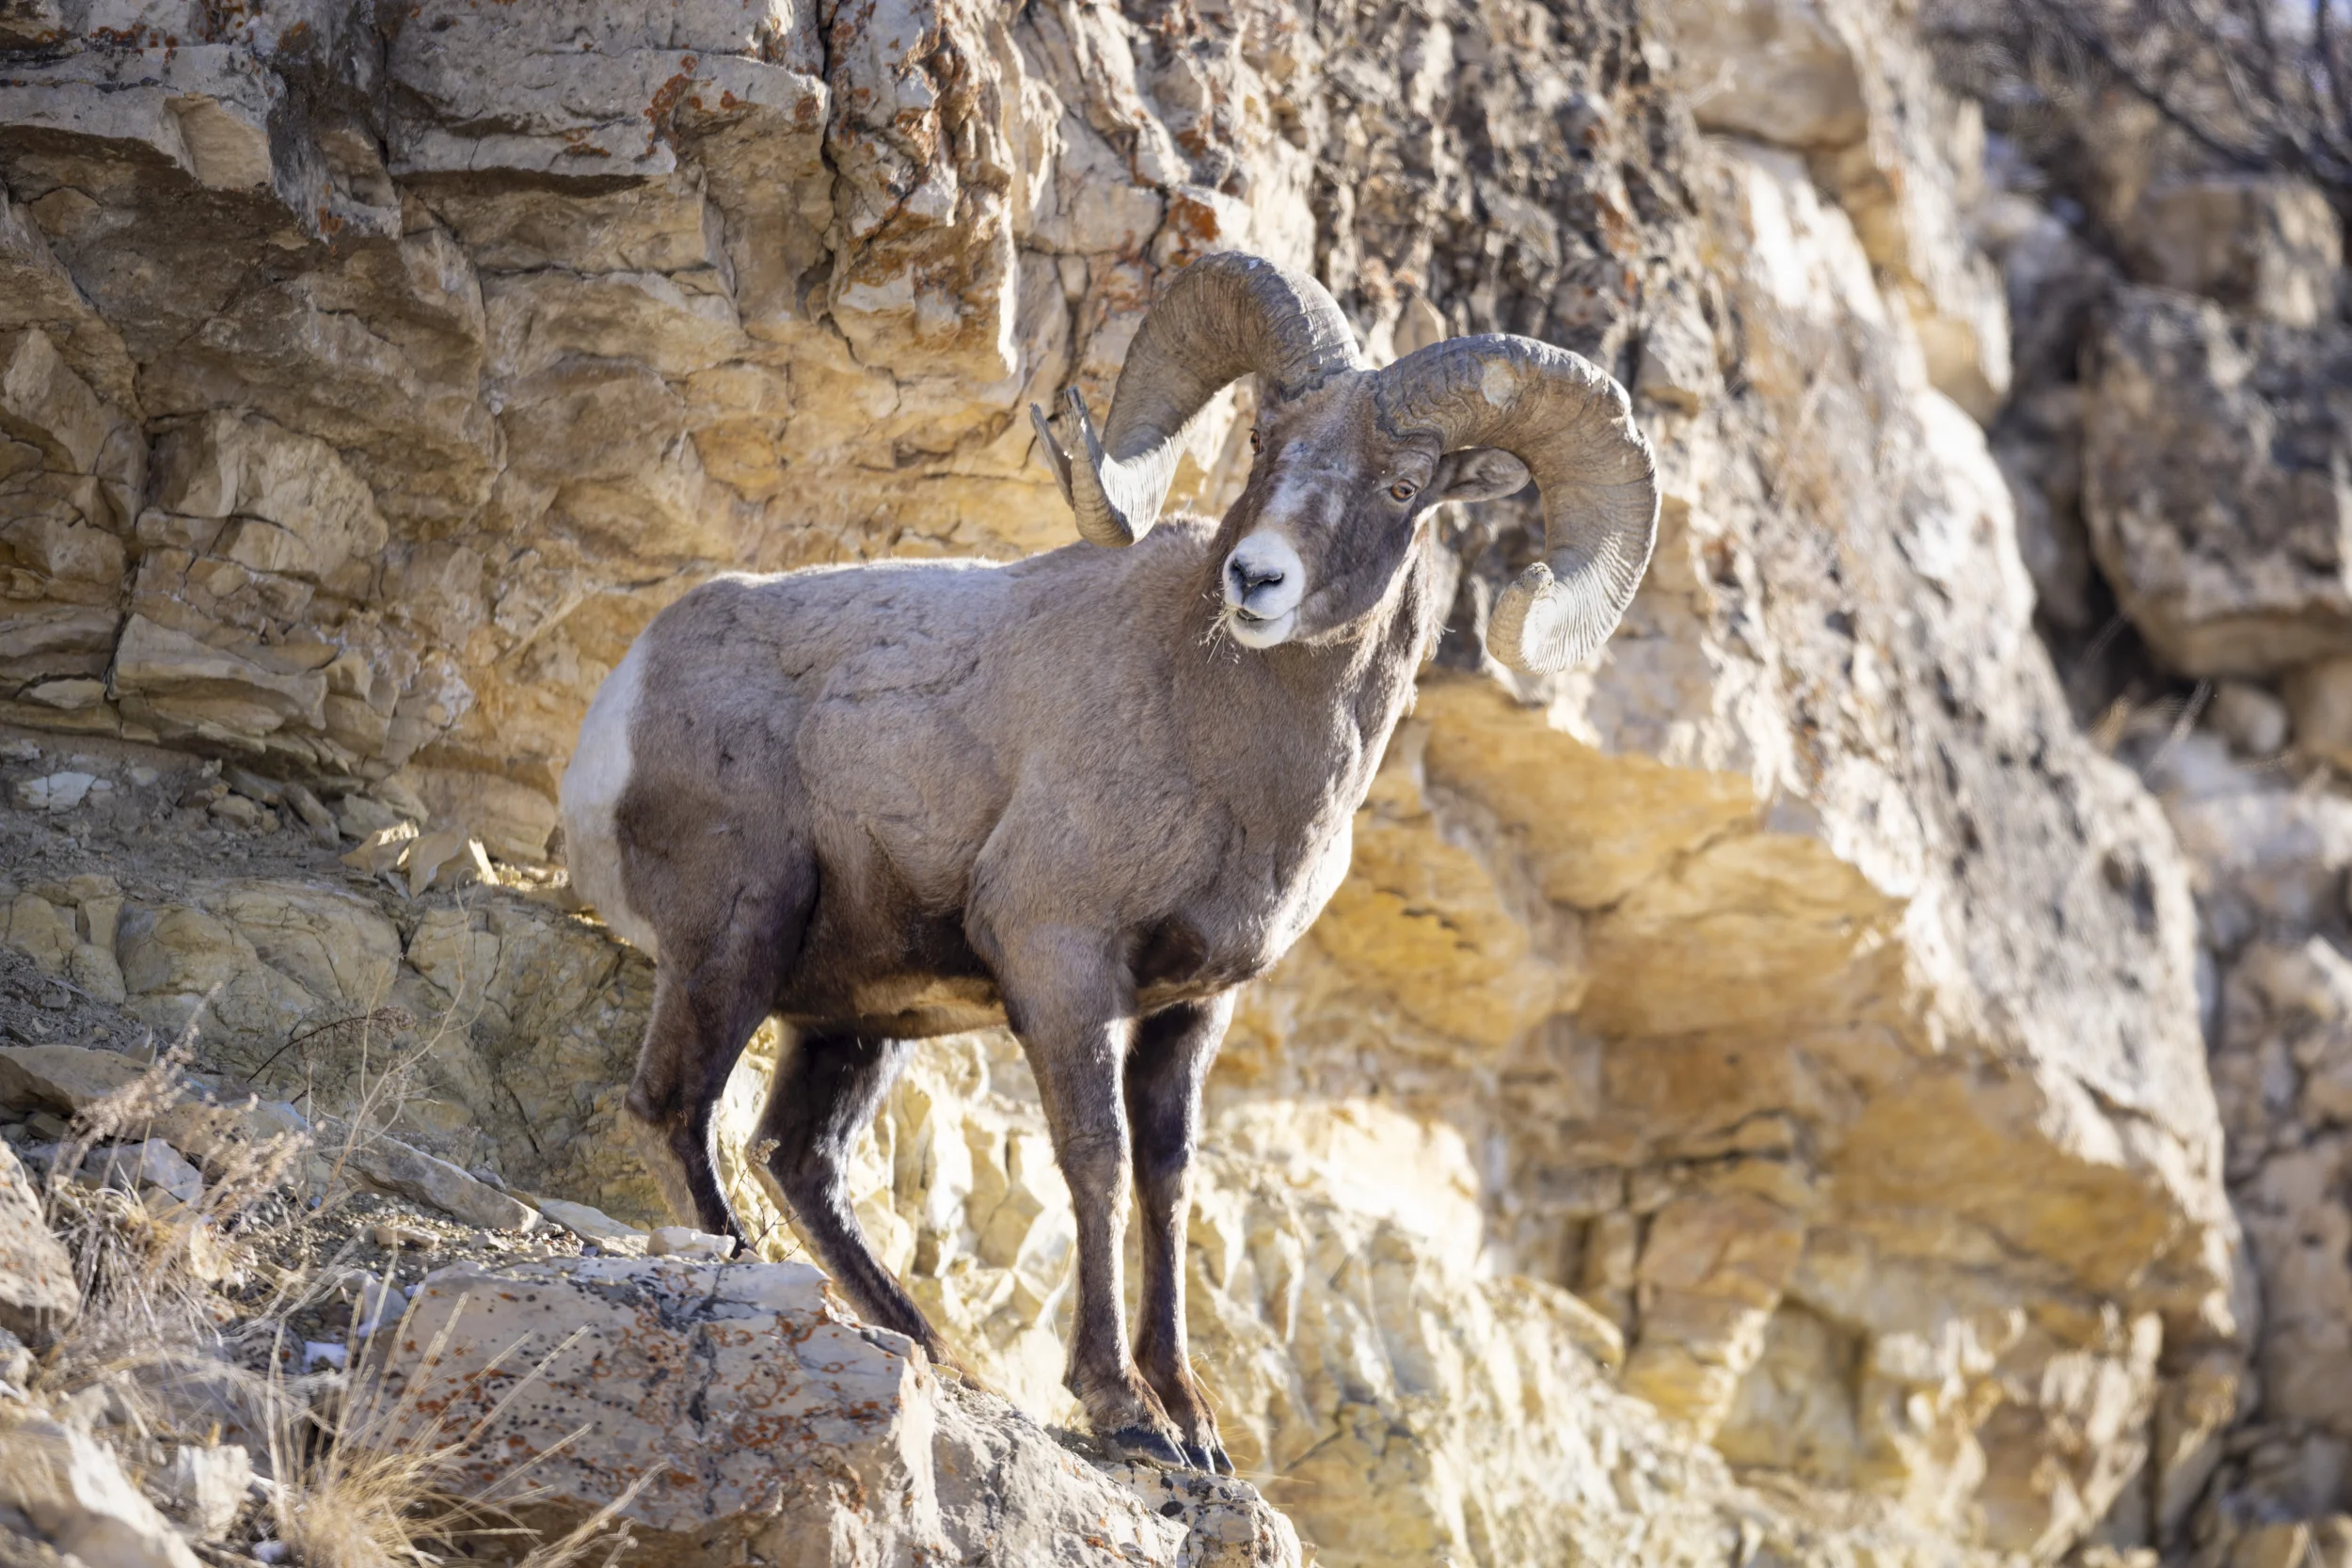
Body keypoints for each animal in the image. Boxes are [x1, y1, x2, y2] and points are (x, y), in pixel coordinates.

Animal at [557, 252, 1658, 1472]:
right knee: (674, 1106)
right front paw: (1122, 1405)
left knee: (799, 1155)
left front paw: (1193, 1417)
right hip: (736, 939)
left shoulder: (1189, 1010)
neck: (1216, 734)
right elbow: (1096, 1156)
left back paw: (929, 1345)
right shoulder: (1061, 960)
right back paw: (755, 1268)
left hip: (854, 1017)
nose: (1257, 579)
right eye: (1265, 441)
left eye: (1404, 484)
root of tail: (627, 694)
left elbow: (1168, 1182)